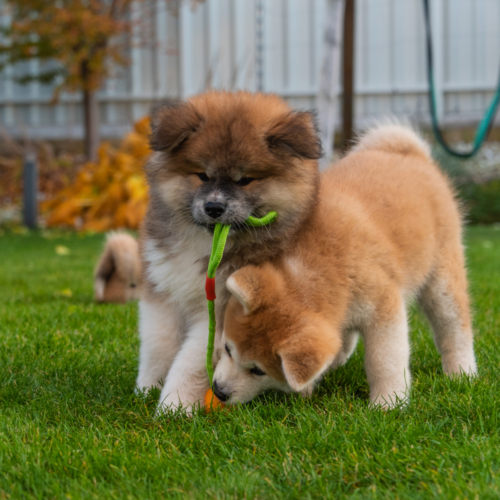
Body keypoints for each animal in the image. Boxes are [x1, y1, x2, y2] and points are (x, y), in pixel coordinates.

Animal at [136, 92, 320, 412]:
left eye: (245, 180)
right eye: (202, 175)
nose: (214, 207)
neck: (206, 245)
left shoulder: (219, 308)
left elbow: (189, 362)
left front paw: (174, 406)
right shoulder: (162, 291)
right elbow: (158, 346)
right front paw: (147, 389)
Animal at [213, 123, 478, 408]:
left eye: (257, 370)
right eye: (228, 349)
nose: (219, 391)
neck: (316, 270)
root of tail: (408, 153)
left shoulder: (383, 306)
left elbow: (384, 360)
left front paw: (388, 402)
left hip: (442, 276)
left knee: (453, 326)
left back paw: (461, 372)